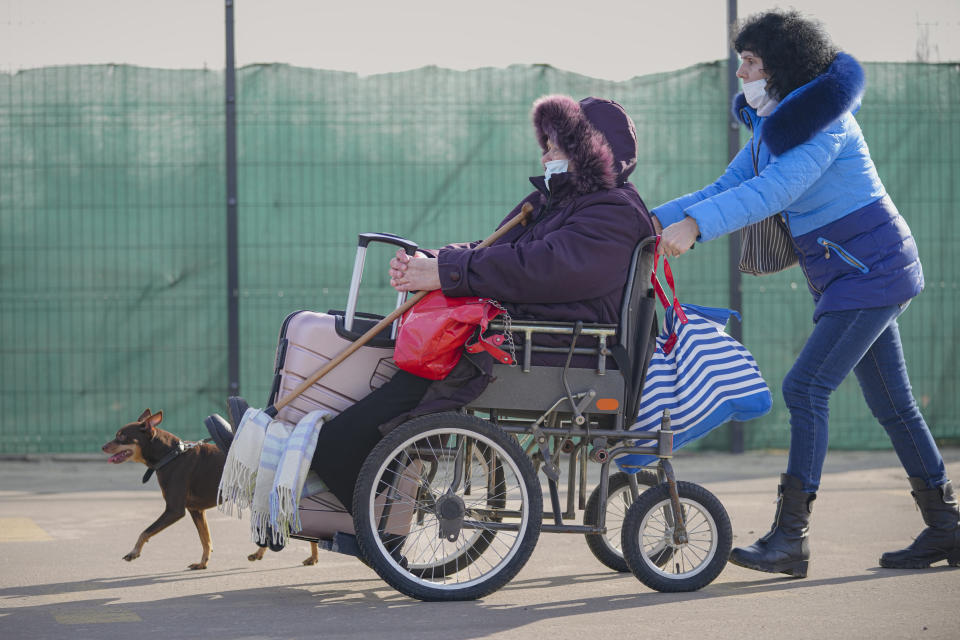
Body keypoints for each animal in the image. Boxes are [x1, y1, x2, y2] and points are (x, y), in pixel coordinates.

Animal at [102, 408, 318, 568]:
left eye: (121, 436)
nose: (103, 447)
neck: (171, 455)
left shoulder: (174, 510)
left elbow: (145, 531)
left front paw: (134, 552)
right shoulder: (195, 510)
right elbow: (205, 539)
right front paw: (203, 563)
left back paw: (311, 556)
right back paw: (265, 554)